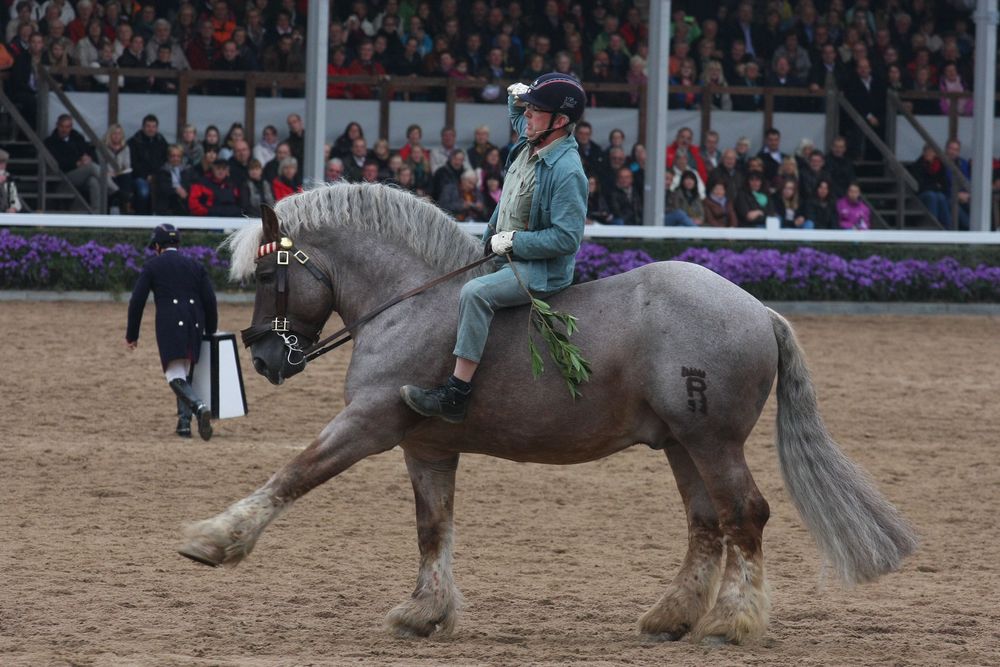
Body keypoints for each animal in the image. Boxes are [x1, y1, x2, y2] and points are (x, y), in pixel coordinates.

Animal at [180, 181, 916, 640]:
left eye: (269, 275)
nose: (266, 358)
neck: (411, 302)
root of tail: (758, 309)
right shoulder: (427, 448)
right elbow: (433, 528)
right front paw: (425, 612)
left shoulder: (367, 426)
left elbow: (293, 474)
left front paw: (215, 539)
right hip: (682, 445)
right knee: (707, 524)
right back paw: (671, 617)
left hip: (713, 442)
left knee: (745, 516)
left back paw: (732, 623)